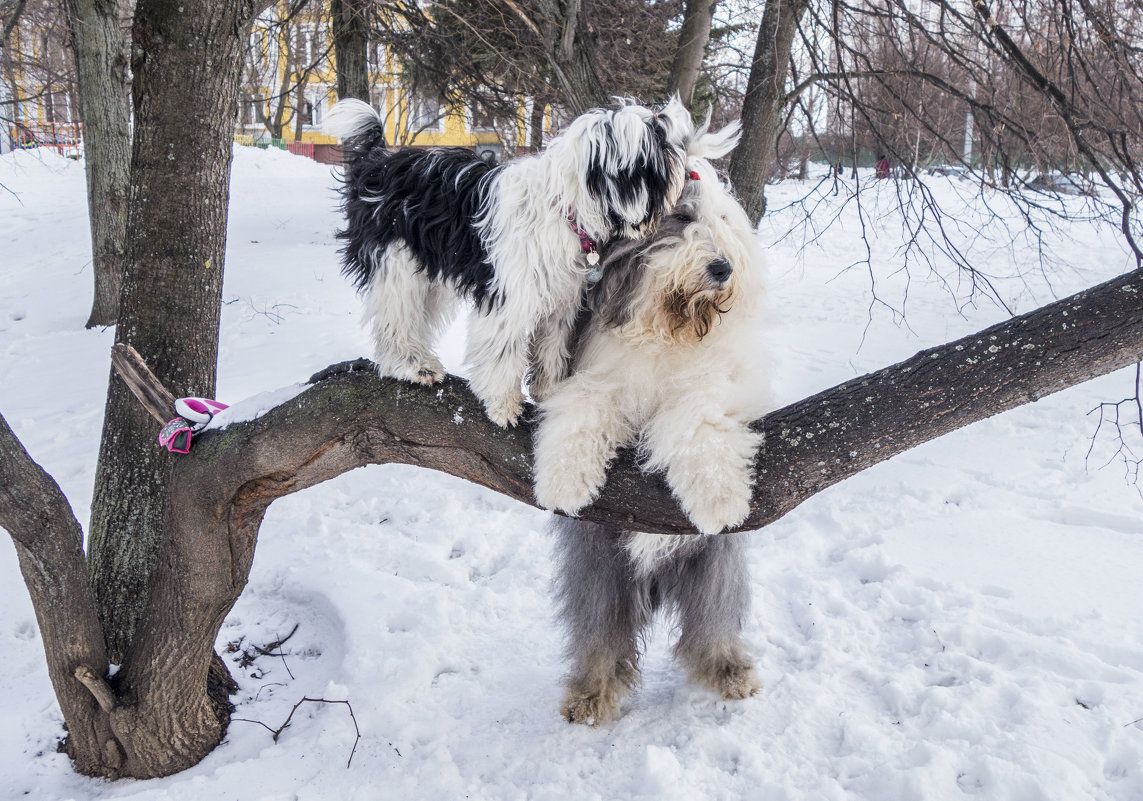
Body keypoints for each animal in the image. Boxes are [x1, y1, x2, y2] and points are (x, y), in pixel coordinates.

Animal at [326, 95, 736, 425]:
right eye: (662, 146)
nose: (693, 170)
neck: (565, 210)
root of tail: (378, 161)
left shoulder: (561, 298)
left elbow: (551, 347)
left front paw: (550, 393)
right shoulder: (510, 296)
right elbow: (503, 350)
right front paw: (504, 405)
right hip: (395, 261)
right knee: (395, 317)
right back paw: (412, 364)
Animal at [534, 165, 768, 722]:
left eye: (723, 221)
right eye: (681, 218)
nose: (723, 268)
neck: (670, 329)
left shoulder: (716, 385)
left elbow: (696, 419)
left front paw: (717, 499)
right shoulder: (597, 377)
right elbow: (582, 409)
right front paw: (564, 482)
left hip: (714, 565)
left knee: (711, 621)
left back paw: (727, 669)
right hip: (598, 566)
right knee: (601, 631)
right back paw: (591, 693)